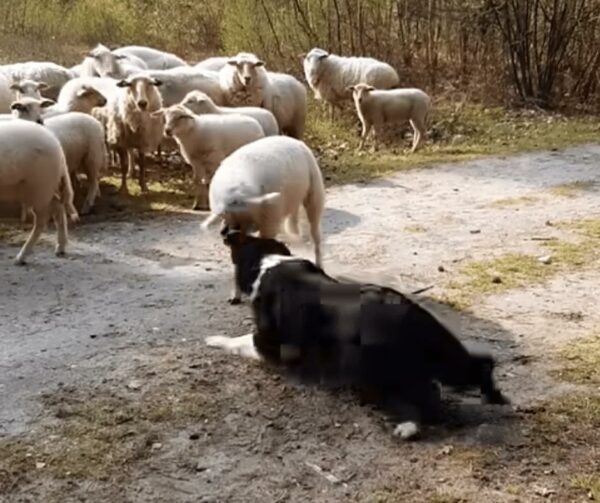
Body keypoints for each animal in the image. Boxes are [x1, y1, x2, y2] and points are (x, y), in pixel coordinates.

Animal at [0, 120, 78, 266]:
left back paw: (21, 257)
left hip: (39, 188)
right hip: (40, 189)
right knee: (58, 208)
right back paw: (60, 247)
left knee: (42, 221)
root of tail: (57, 146)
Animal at [200, 136, 324, 304]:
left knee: (316, 235)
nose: (224, 233)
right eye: (224, 215)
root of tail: (291, 139)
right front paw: (236, 294)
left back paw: (319, 264)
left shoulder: (267, 225)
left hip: (314, 196)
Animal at [205, 230, 506, 440]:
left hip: (371, 367)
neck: (267, 262)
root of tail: (407, 314)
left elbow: (238, 340)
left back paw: (406, 427)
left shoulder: (270, 342)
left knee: (422, 398)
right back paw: (495, 398)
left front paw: (214, 340)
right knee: (479, 366)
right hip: (445, 355)